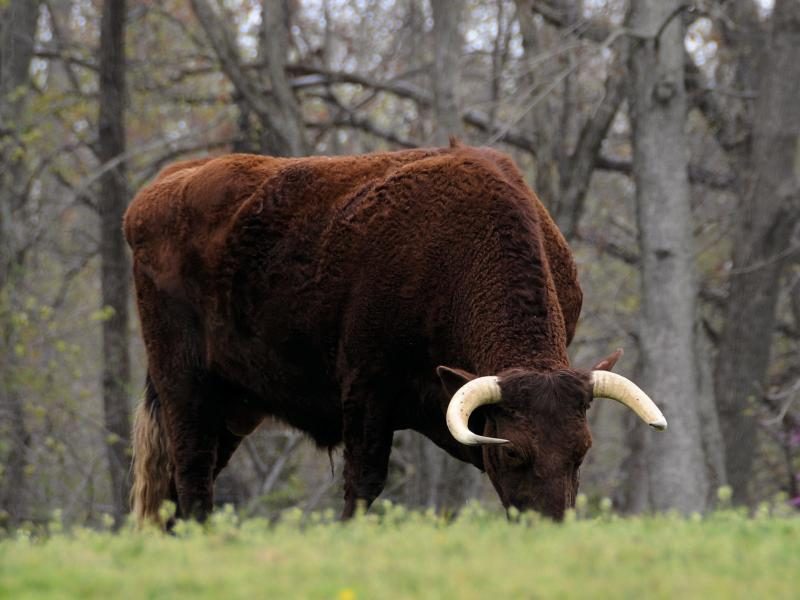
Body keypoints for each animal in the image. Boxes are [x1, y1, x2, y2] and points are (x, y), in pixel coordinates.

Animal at [123, 143, 664, 524]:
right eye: (515, 450)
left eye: (582, 450)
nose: (553, 530)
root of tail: (161, 188)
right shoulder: (367, 391)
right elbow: (364, 484)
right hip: (184, 386)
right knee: (192, 478)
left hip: (235, 407)